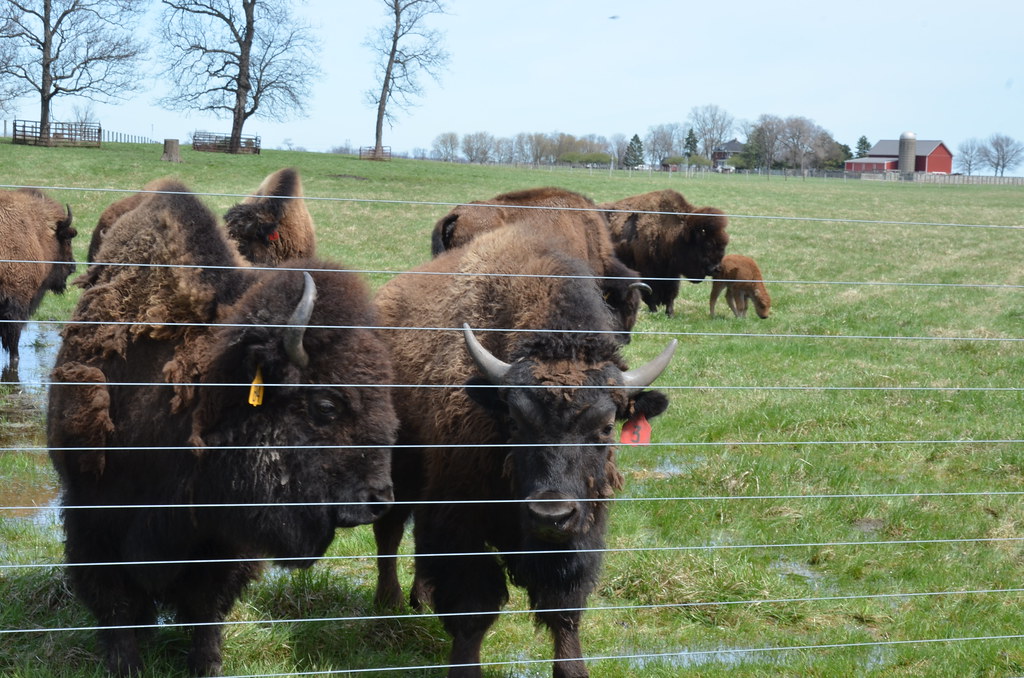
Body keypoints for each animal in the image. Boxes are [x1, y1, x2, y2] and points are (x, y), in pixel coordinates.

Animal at [48, 179, 398, 676]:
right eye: (326, 405)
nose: (379, 502)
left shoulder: (224, 539)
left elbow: (206, 608)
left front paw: (206, 664)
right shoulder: (92, 516)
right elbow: (114, 602)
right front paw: (125, 663)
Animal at [373, 224, 676, 678]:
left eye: (606, 426)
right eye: (515, 421)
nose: (550, 514)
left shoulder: (579, 533)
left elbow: (563, 607)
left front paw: (573, 670)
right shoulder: (459, 519)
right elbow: (472, 606)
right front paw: (465, 669)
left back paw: (418, 599)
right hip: (398, 468)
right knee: (389, 532)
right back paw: (388, 604)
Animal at [600, 189, 729, 317]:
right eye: (708, 244)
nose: (717, 268)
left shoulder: (672, 273)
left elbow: (670, 295)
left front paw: (670, 313)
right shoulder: (648, 272)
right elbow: (651, 293)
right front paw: (654, 310)